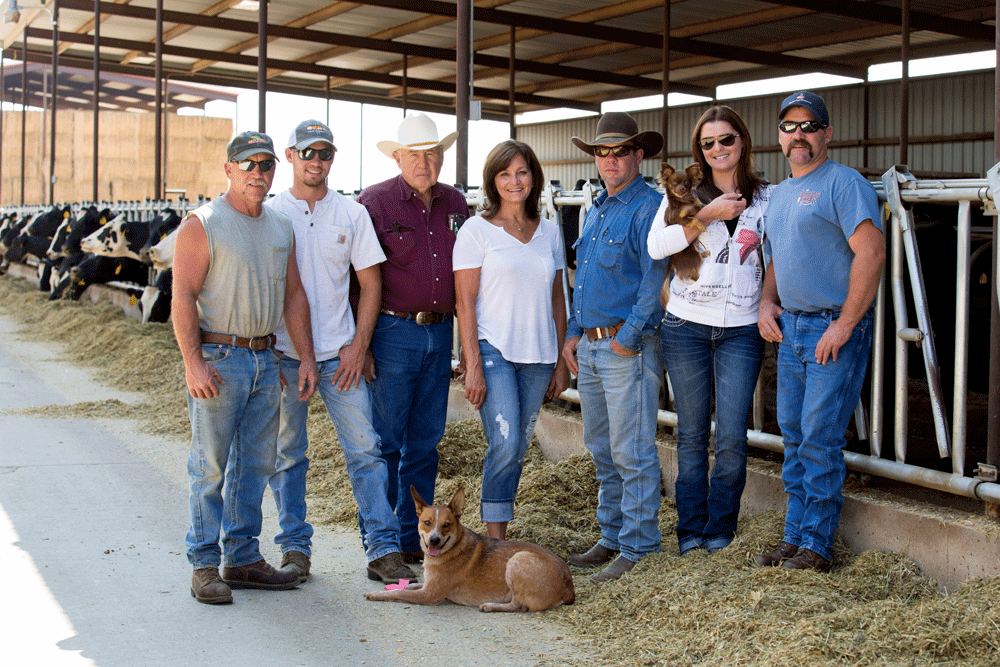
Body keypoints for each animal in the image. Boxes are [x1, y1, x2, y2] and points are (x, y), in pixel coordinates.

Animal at [364, 488, 576, 612]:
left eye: (447, 524)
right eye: (427, 522)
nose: (434, 540)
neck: (452, 547)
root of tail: (569, 587)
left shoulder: (429, 595)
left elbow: (398, 594)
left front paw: (378, 595)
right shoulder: (428, 586)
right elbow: (411, 586)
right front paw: (407, 584)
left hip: (518, 559)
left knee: (520, 606)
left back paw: (491, 606)